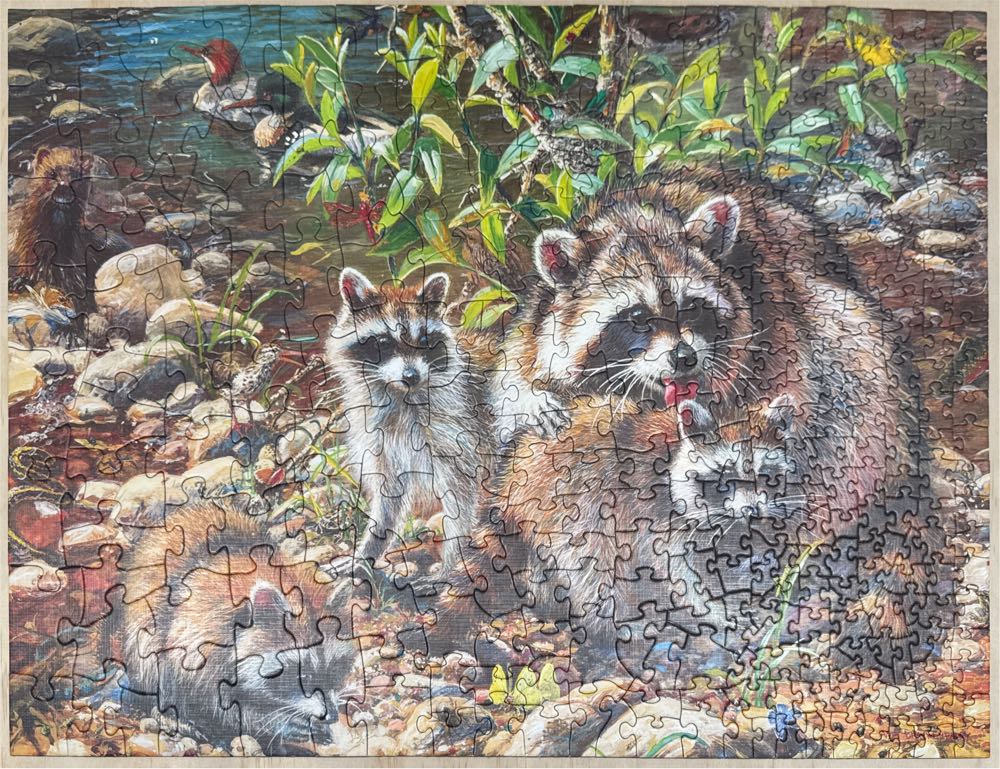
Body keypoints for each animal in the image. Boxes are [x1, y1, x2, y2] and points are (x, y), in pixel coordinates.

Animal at [121, 500, 357, 749]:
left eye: (336, 668)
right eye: (304, 676)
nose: (332, 715)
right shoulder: (197, 639)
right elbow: (210, 701)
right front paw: (275, 722)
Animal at [324, 268, 496, 576]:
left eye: (425, 341)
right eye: (383, 343)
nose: (411, 376)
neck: (400, 396)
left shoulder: (460, 432)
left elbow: (461, 499)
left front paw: (451, 561)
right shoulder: (381, 442)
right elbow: (388, 501)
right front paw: (368, 550)